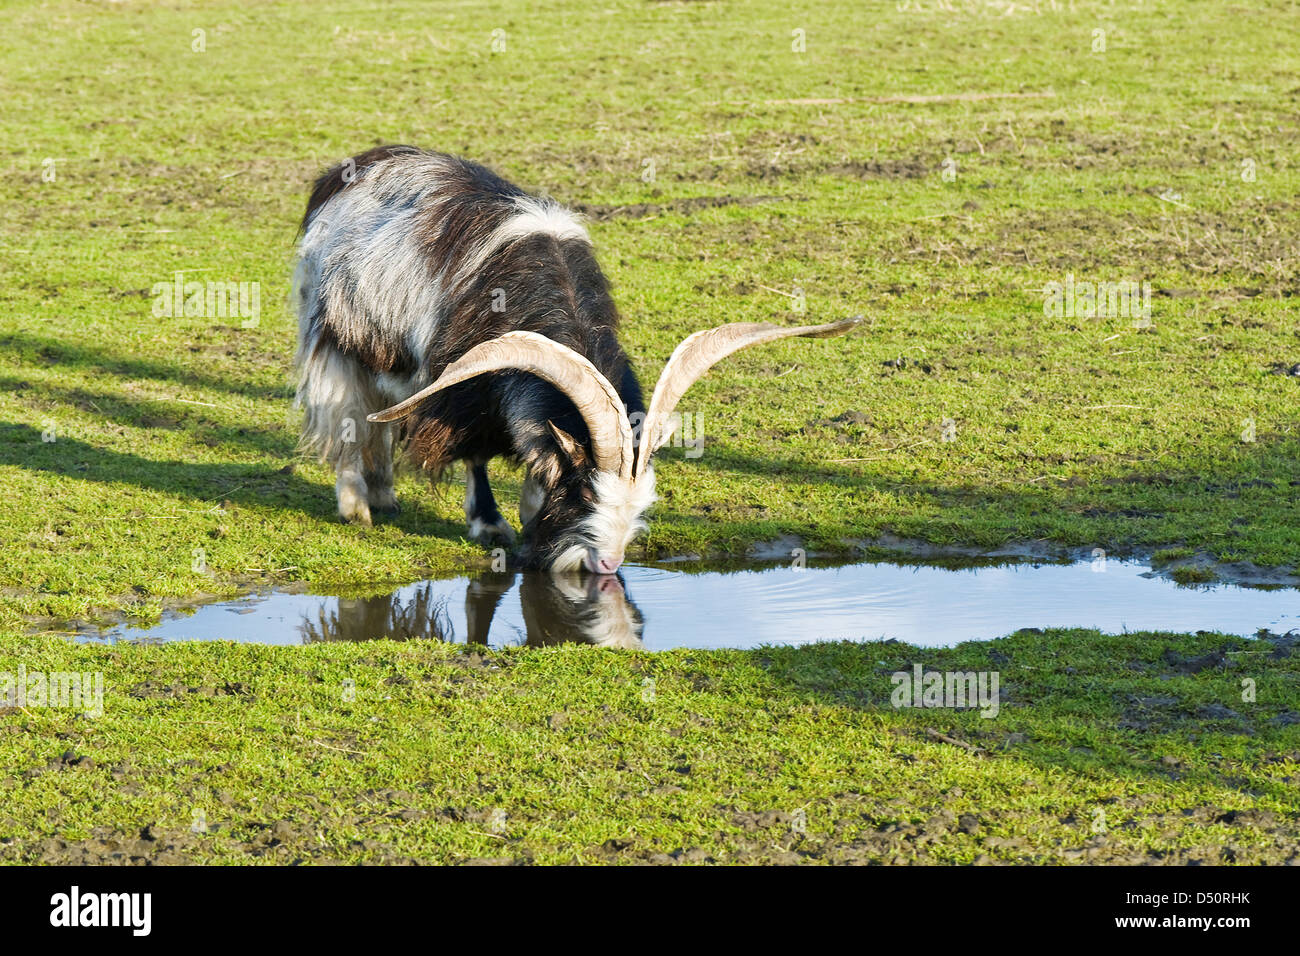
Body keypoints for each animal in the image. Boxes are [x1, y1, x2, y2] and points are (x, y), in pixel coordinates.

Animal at [293, 146, 858, 573]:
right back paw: (357, 504)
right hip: (339, 338)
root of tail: (349, 169)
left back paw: (385, 493)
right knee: (349, 417)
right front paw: (489, 523)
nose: (607, 566)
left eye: (643, 503)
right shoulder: (465, 380)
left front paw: (529, 510)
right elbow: (476, 453)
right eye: (587, 497)